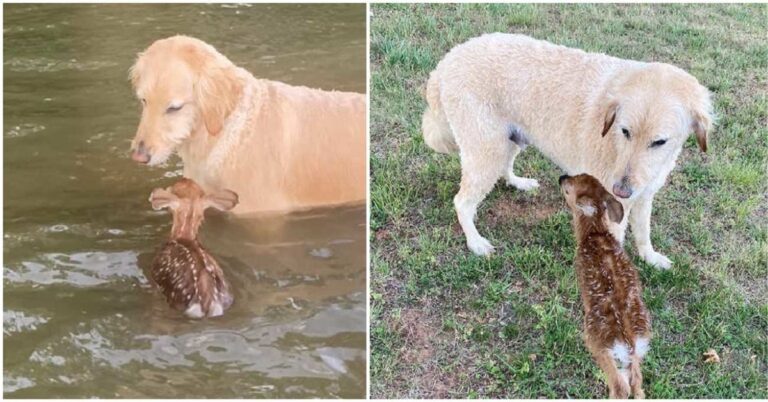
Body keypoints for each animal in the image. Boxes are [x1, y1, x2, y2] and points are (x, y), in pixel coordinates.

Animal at [424, 33, 712, 268]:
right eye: (625, 131)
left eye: (659, 142)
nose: (621, 190)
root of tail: (447, 60)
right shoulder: (613, 210)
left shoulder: (643, 196)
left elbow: (643, 232)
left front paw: (650, 257)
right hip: (487, 150)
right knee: (462, 202)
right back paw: (475, 242)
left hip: (510, 140)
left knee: (504, 169)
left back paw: (518, 182)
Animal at [560, 173, 656, 398]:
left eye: (568, 190)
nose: (562, 177)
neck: (595, 233)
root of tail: (629, 342)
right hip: (634, 356)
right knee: (637, 384)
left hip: (597, 342)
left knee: (621, 386)